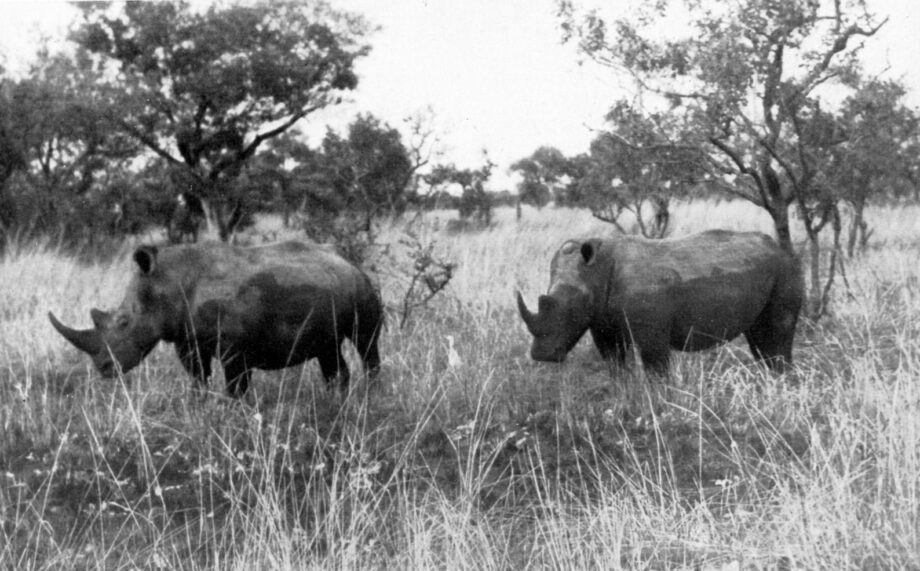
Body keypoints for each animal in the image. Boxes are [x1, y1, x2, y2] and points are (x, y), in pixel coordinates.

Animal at [49, 240, 383, 397]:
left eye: (123, 323)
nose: (103, 369)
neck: (169, 282)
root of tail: (349, 262)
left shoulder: (234, 346)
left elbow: (235, 385)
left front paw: (234, 413)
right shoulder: (186, 338)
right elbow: (197, 377)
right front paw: (199, 407)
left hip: (365, 289)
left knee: (366, 343)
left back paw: (370, 396)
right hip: (328, 287)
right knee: (328, 350)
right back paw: (336, 400)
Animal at [516, 229, 803, 373]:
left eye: (573, 309)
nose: (542, 356)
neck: (596, 269)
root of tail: (780, 248)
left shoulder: (651, 329)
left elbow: (655, 366)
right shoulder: (601, 321)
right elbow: (614, 362)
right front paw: (624, 394)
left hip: (785, 269)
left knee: (777, 332)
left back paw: (780, 379)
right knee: (758, 336)